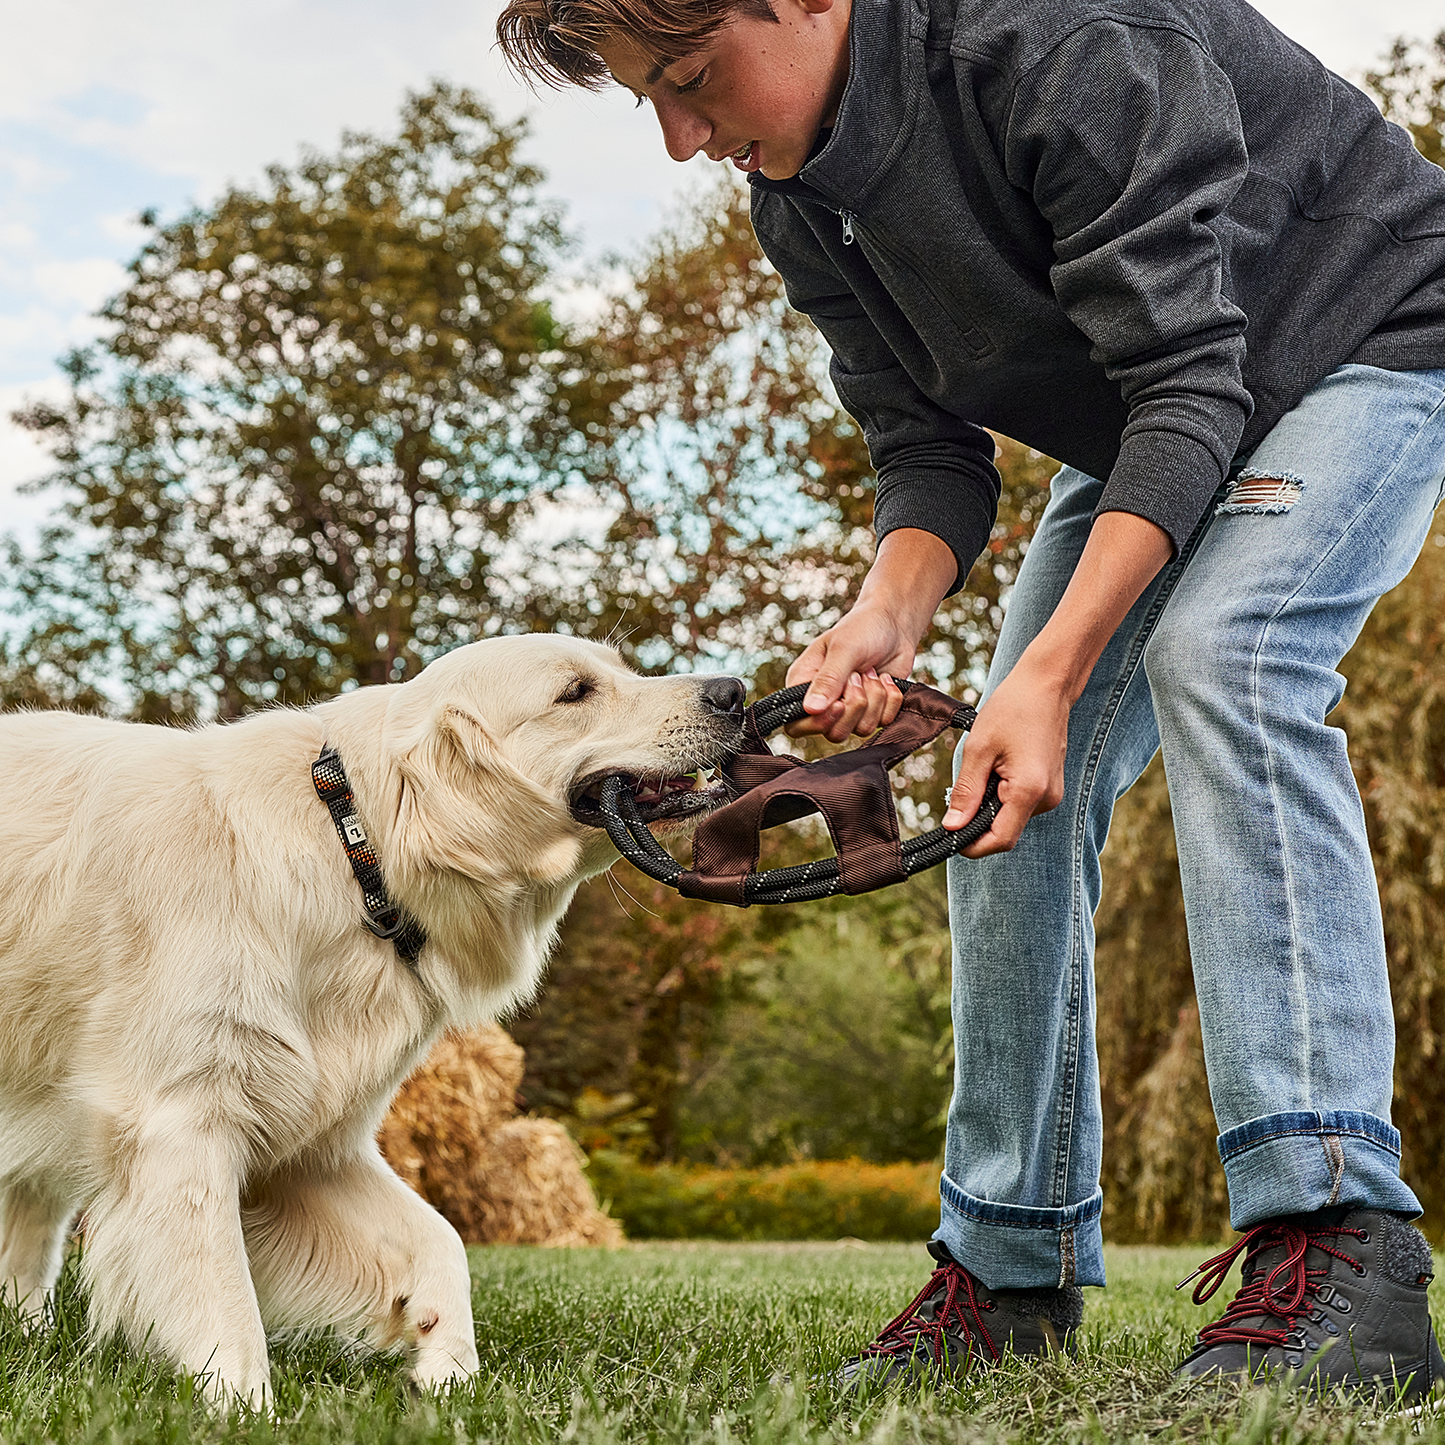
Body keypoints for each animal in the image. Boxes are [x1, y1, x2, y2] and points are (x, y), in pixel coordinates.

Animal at [0, 632, 745, 1398]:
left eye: (620, 668)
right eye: (575, 692)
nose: (734, 691)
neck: (351, 842)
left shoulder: (312, 1144)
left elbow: (439, 1240)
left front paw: (449, 1375)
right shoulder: (179, 1127)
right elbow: (228, 1305)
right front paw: (246, 1407)